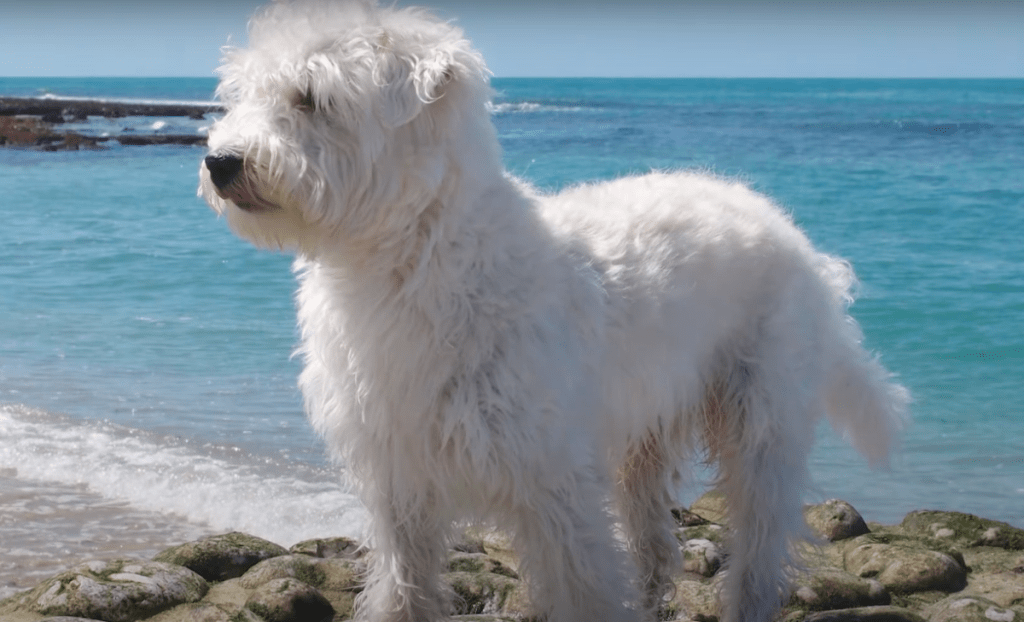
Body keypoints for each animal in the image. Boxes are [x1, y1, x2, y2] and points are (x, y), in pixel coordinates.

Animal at [195, 2, 909, 618]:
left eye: (310, 97)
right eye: (244, 93)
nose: (219, 162)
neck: (416, 260)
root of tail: (794, 236)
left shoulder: (552, 486)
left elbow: (584, 590)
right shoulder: (400, 481)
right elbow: (403, 589)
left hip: (761, 424)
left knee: (758, 546)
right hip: (644, 440)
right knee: (656, 544)